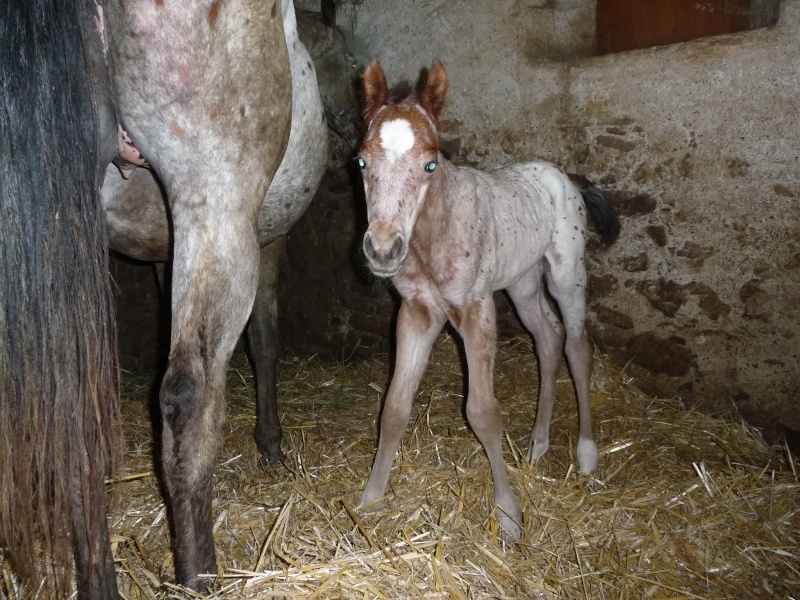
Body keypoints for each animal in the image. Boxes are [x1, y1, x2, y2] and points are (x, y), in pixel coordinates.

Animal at [0, 0, 294, 596]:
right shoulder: (267, 239)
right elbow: (265, 341)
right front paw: (271, 444)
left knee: (70, 415)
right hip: (218, 198)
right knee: (188, 396)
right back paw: (201, 577)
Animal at [360, 58, 620, 540]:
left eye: (430, 164)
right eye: (362, 161)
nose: (383, 250)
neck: (429, 239)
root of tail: (564, 177)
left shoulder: (475, 310)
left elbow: (483, 412)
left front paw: (509, 516)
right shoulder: (417, 313)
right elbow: (394, 407)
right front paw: (370, 500)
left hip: (566, 274)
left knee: (577, 345)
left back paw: (586, 452)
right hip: (522, 283)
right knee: (548, 339)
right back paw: (537, 444)